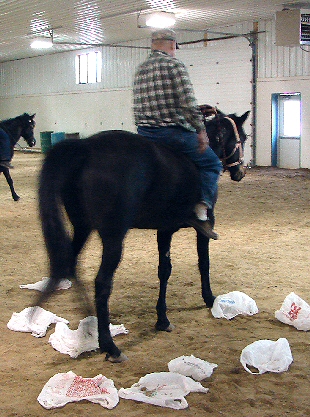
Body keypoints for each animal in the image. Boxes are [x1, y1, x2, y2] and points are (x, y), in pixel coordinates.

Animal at [36, 109, 249, 360]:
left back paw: (88, 328)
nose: (241, 171)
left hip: (82, 226)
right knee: (102, 283)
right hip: (113, 237)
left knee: (70, 265)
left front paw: (162, 319)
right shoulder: (204, 227)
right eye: (242, 137)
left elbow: (164, 271)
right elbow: (203, 262)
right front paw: (209, 298)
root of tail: (86, 147)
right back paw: (109, 345)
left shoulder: (165, 229)